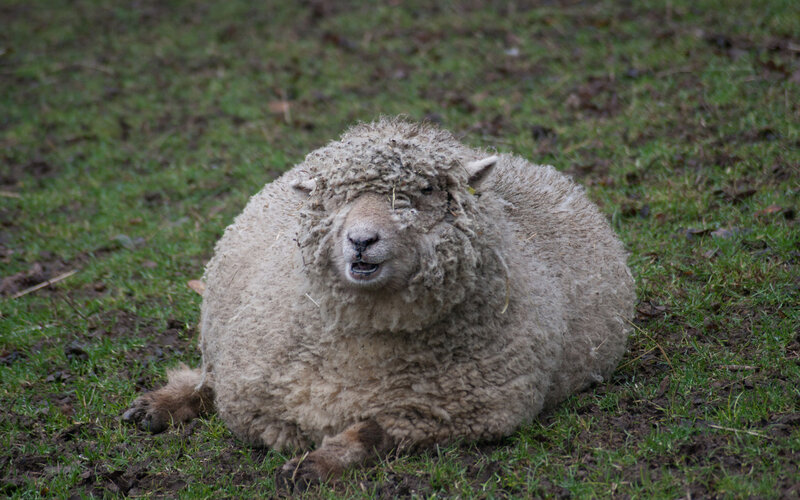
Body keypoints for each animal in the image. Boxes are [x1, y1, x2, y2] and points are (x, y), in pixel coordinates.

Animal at [123, 117, 636, 488]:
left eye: (426, 191)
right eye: (333, 198)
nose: (361, 241)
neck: (366, 344)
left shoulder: (459, 413)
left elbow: (372, 432)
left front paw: (315, 465)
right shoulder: (253, 394)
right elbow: (257, 418)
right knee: (208, 380)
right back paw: (157, 407)